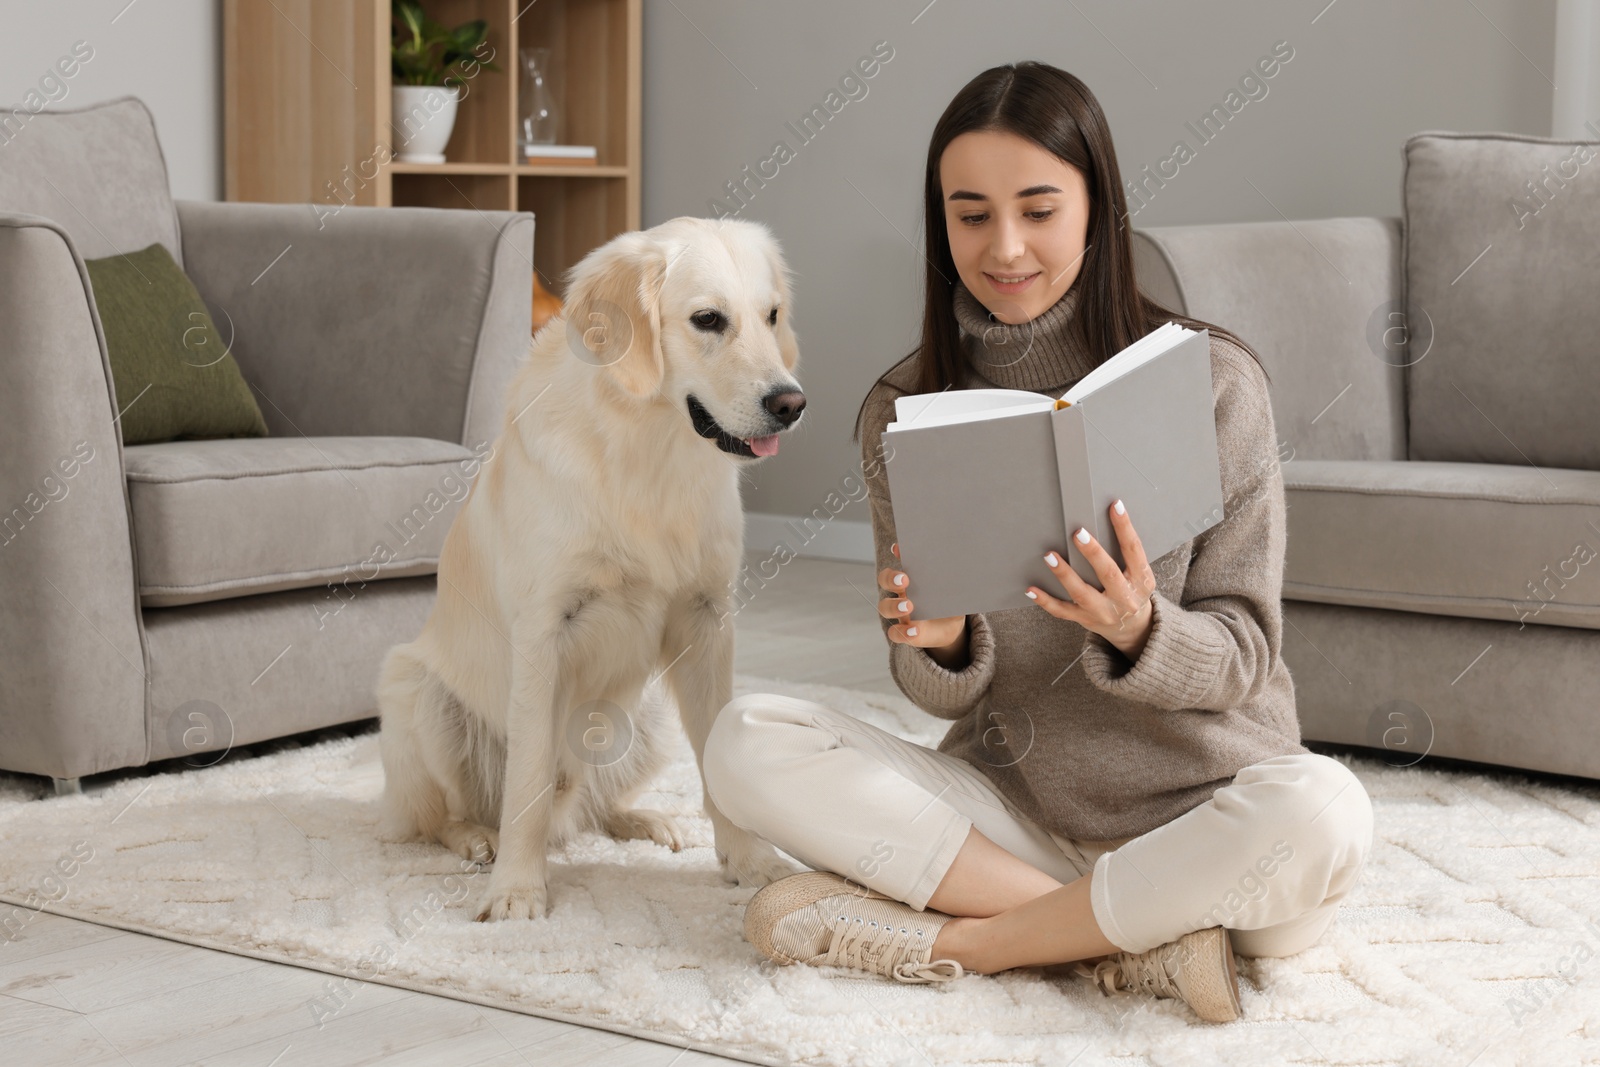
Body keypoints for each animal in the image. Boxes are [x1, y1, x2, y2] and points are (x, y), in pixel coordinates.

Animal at [379, 214, 806, 921]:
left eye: (771, 315)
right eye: (708, 319)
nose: (790, 403)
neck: (648, 450)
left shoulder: (707, 625)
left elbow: (720, 759)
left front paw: (750, 862)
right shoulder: (543, 632)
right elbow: (525, 780)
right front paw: (518, 892)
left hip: (648, 714)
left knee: (593, 804)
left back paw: (645, 821)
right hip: (418, 692)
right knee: (446, 814)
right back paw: (477, 842)